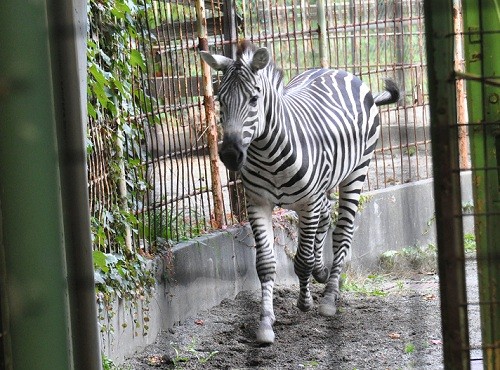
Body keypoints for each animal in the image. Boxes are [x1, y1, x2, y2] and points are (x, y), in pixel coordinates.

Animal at [199, 40, 398, 344]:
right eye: (220, 100)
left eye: (254, 99)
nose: (231, 155)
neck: (267, 152)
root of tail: (337, 71)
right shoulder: (258, 203)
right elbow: (266, 264)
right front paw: (266, 323)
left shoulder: (308, 203)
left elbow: (302, 260)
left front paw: (305, 302)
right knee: (327, 216)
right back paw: (322, 272)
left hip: (356, 172)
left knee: (342, 233)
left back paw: (329, 297)